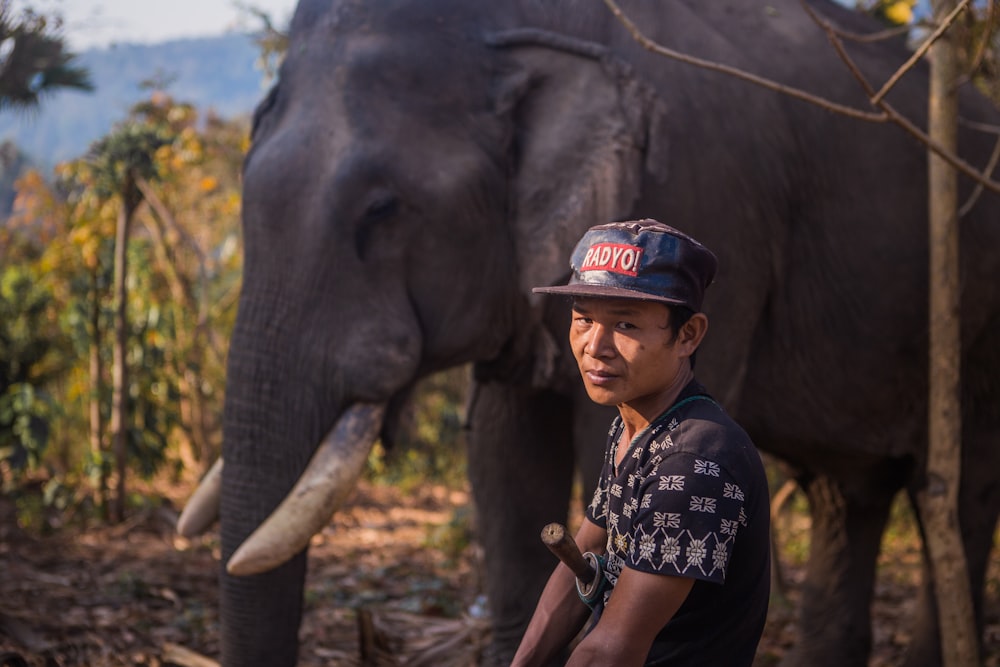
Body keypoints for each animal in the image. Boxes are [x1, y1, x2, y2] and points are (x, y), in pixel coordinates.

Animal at [178, 0, 1000, 664]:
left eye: (381, 210)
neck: (520, 29)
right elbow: (506, 461)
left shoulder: (706, 195)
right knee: (847, 495)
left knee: (956, 496)